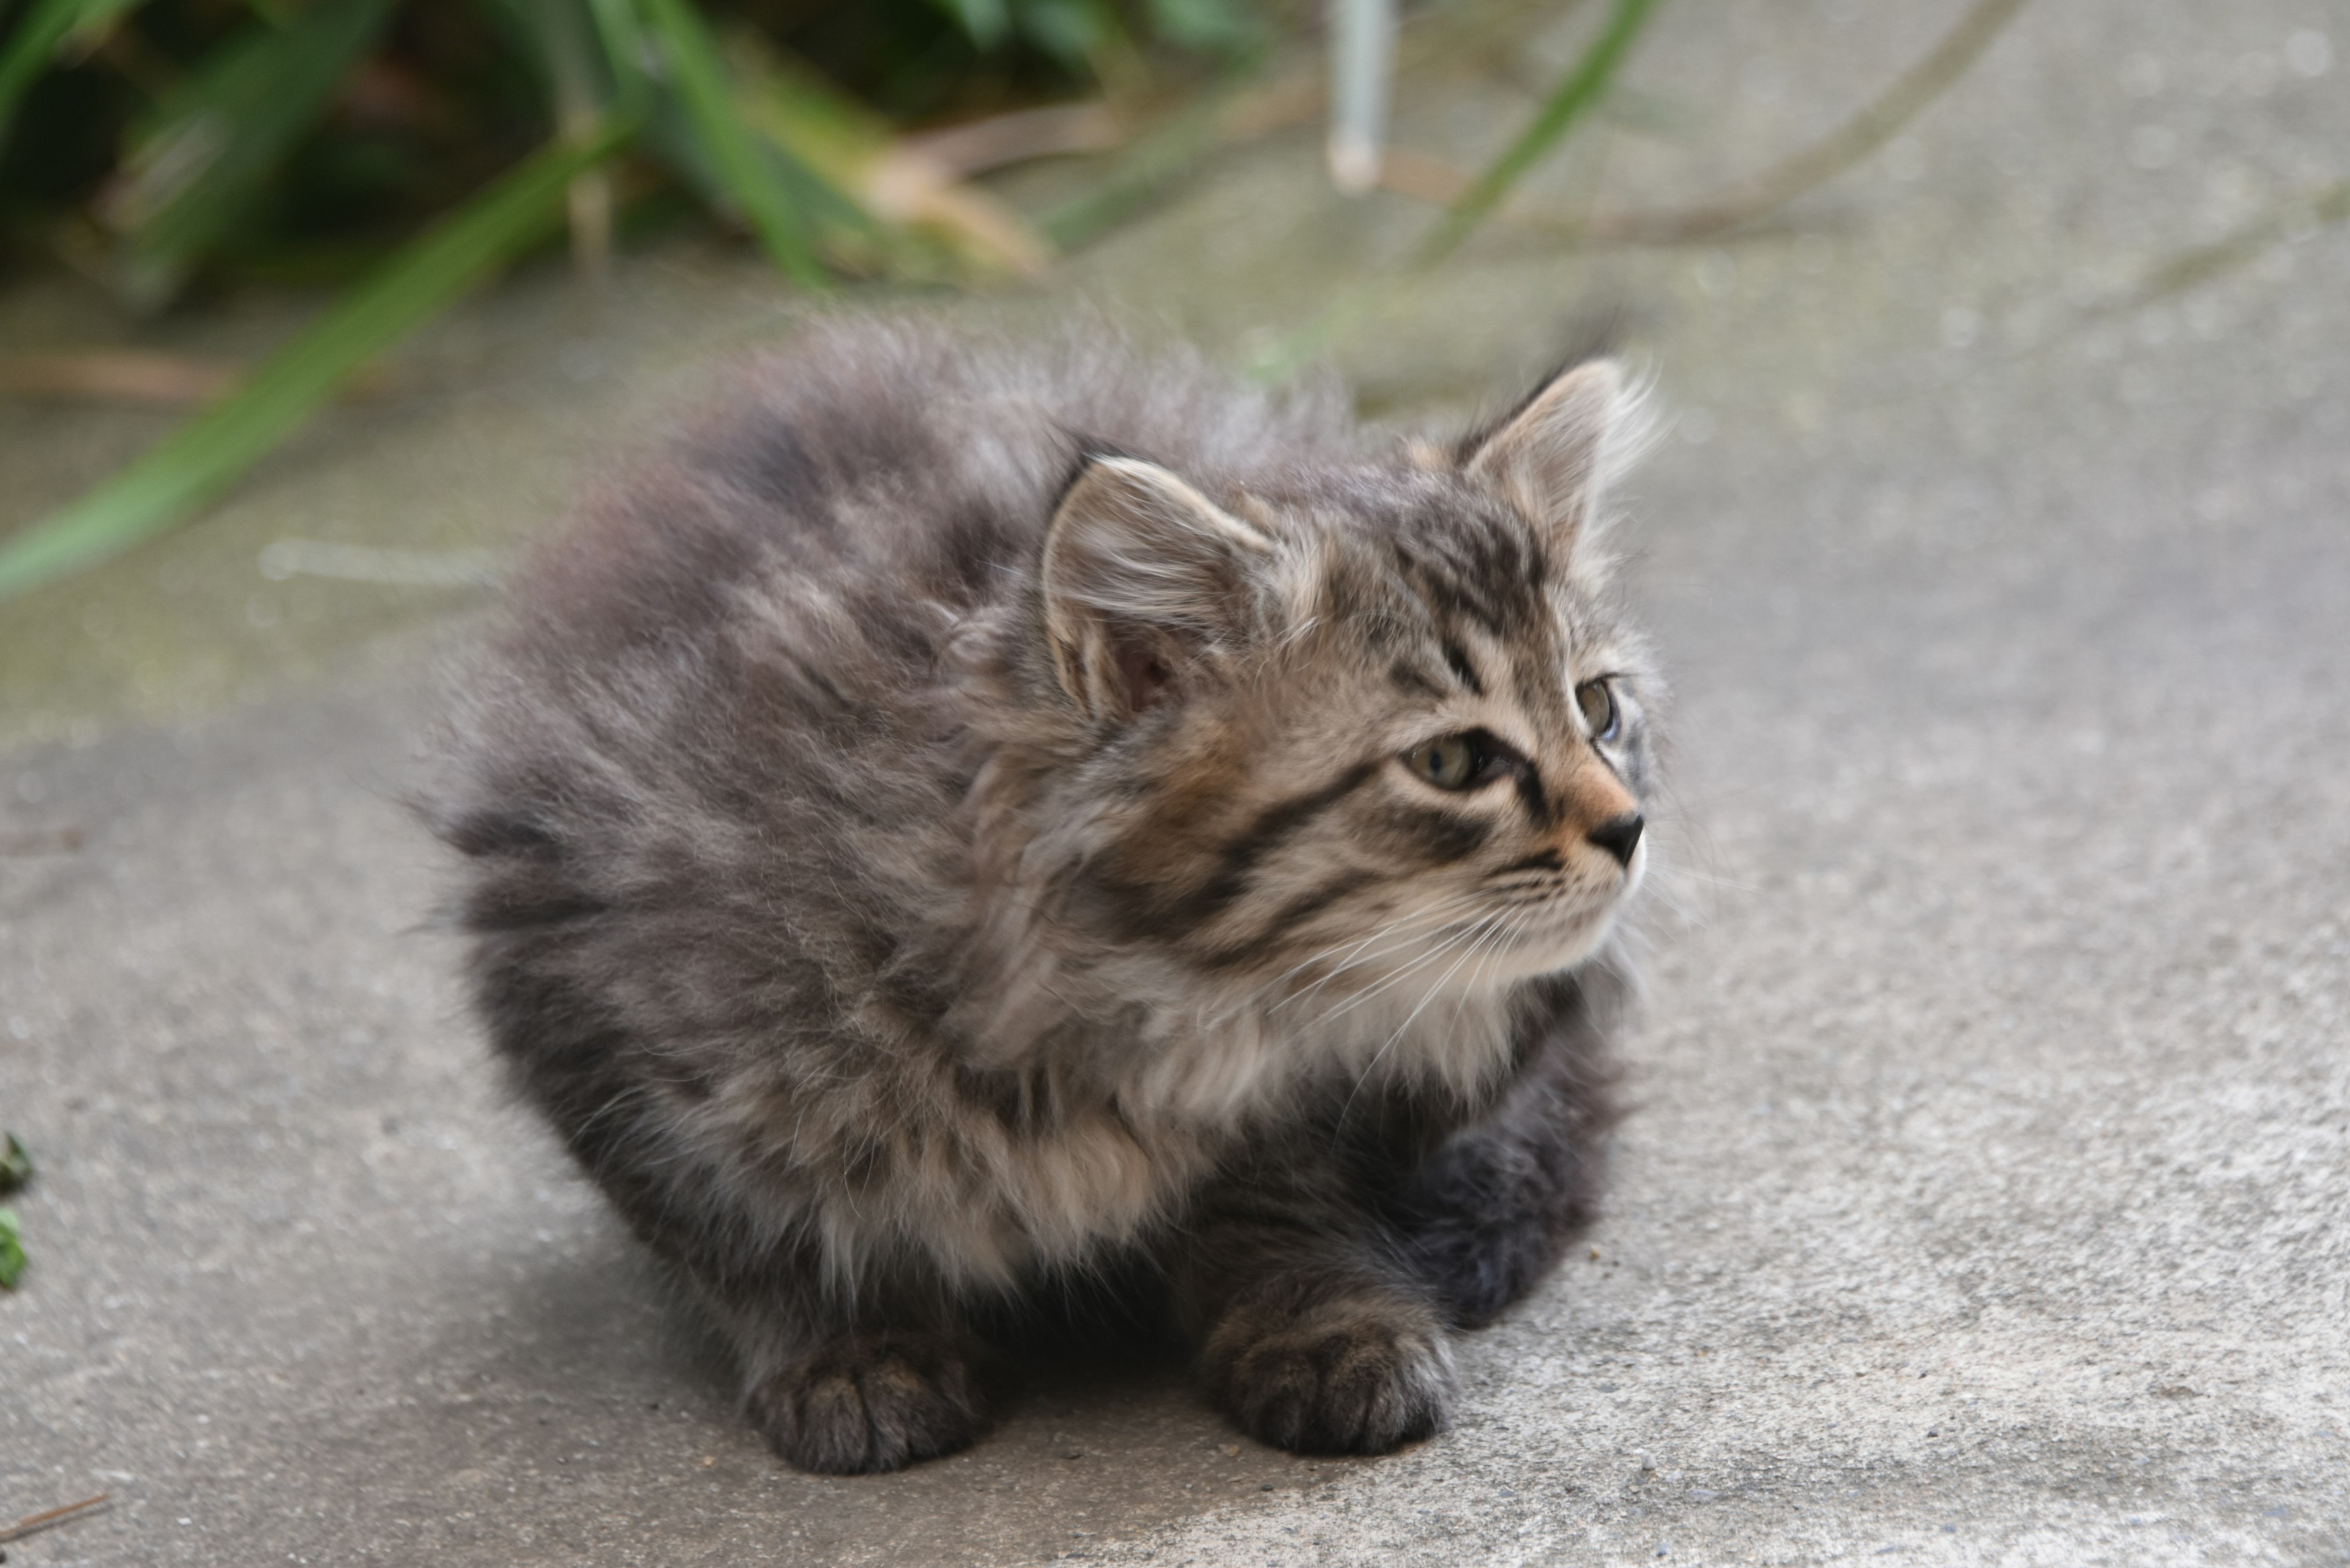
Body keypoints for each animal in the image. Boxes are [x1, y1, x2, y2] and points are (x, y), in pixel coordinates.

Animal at [427, 319, 1673, 1476]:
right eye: (1455, 762)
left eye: (1597, 707)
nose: (1629, 827)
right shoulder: (587, 981)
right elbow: (746, 1227)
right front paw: (852, 1343)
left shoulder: (1321, 1088)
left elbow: (1277, 1192)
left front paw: (1319, 1316)